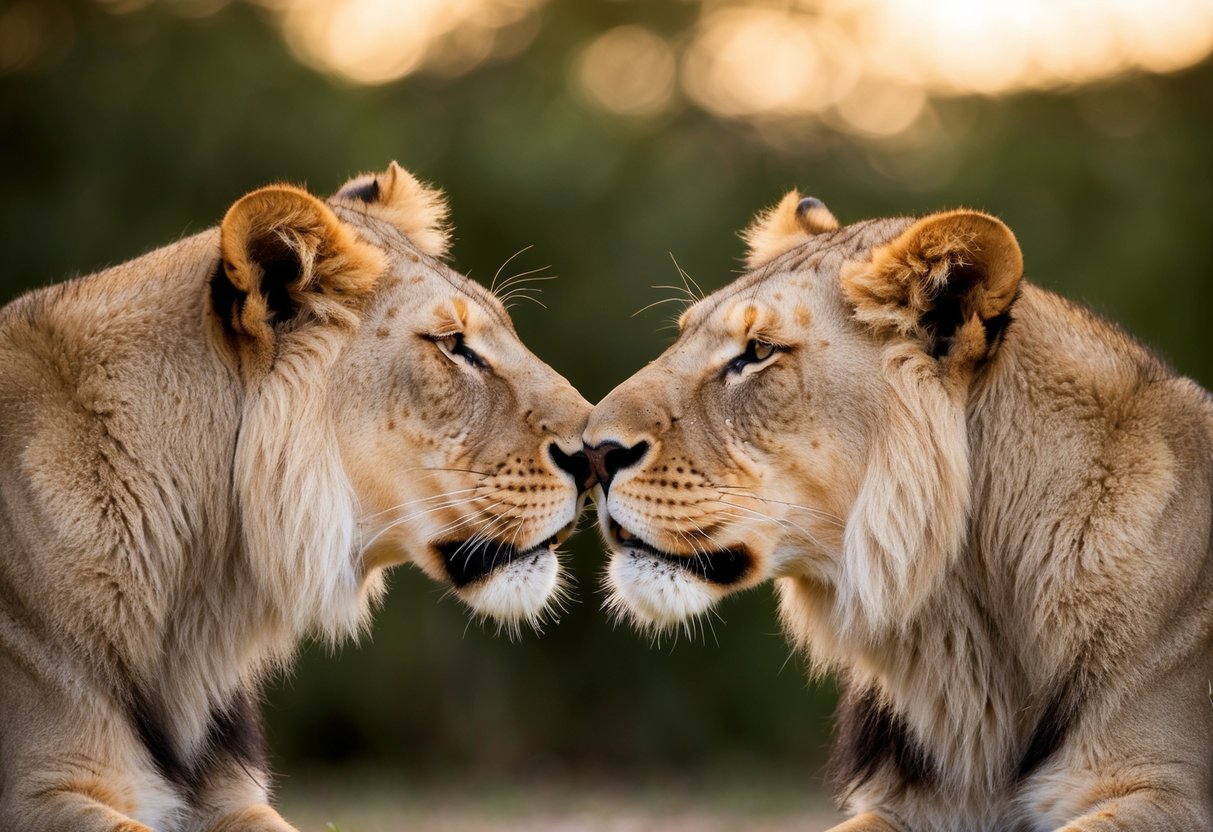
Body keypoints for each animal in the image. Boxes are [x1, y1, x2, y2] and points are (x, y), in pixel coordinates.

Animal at [583, 191, 1213, 830]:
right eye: (682, 337)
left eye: (757, 352)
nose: (591, 453)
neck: (964, 626)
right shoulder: (915, 808)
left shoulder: (1169, 791)